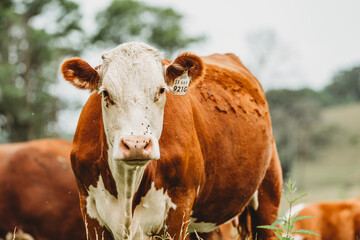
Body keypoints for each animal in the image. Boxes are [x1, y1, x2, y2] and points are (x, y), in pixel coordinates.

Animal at [60, 42, 282, 239]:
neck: (128, 184)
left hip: (268, 199)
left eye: (160, 90)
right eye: (105, 93)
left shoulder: (178, 210)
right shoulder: (90, 212)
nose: (136, 145)